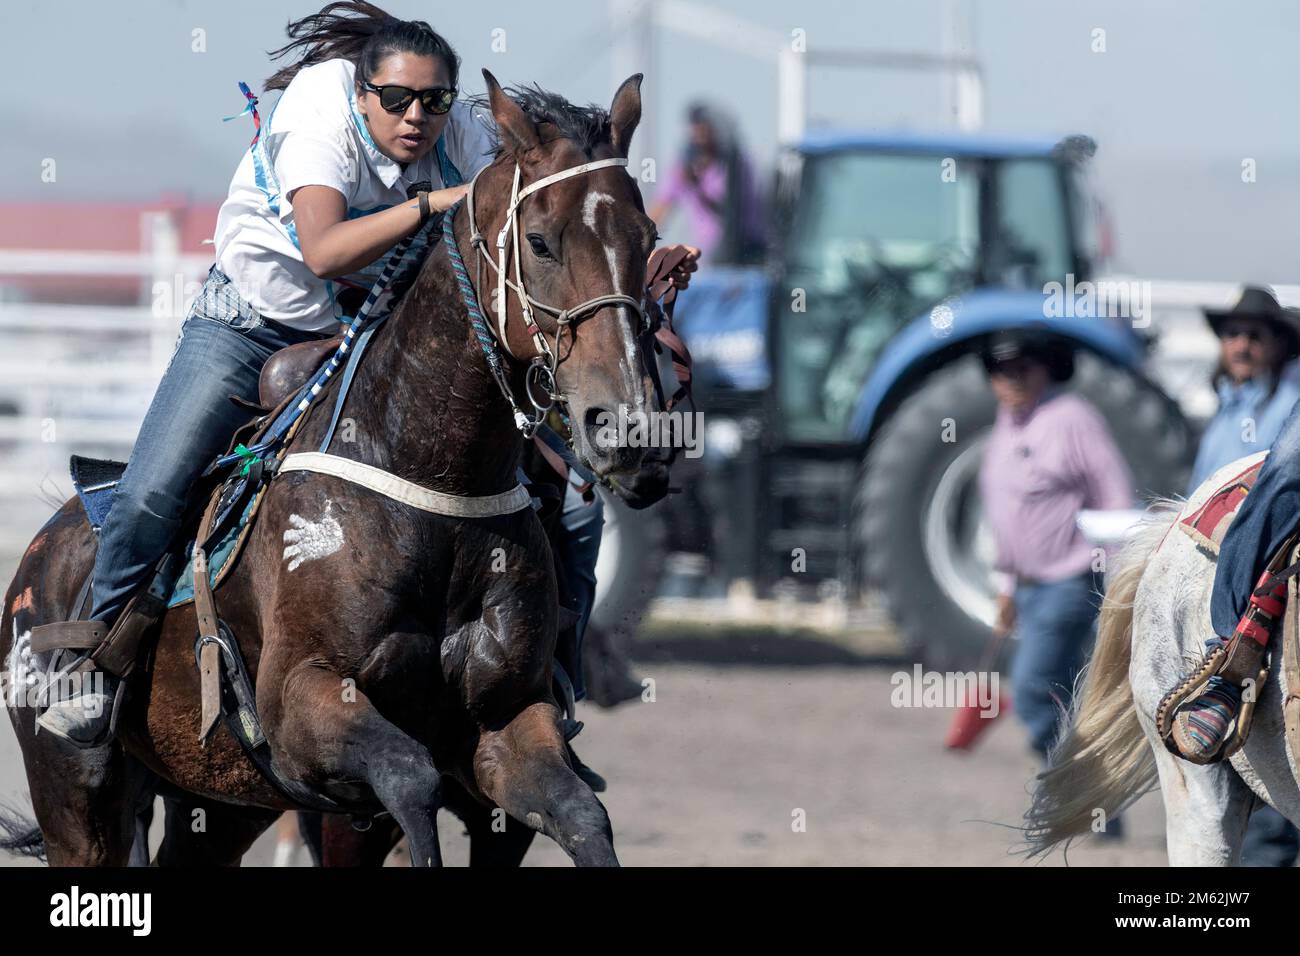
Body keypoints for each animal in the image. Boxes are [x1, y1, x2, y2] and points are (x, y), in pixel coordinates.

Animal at [0, 69, 665, 868]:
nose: (627, 425)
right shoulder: (303, 705)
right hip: (77, 802)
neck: (429, 481)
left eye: (649, 239)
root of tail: (40, 553)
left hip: (218, 798)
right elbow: (411, 780)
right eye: (538, 240)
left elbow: (582, 815)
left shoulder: (506, 722)